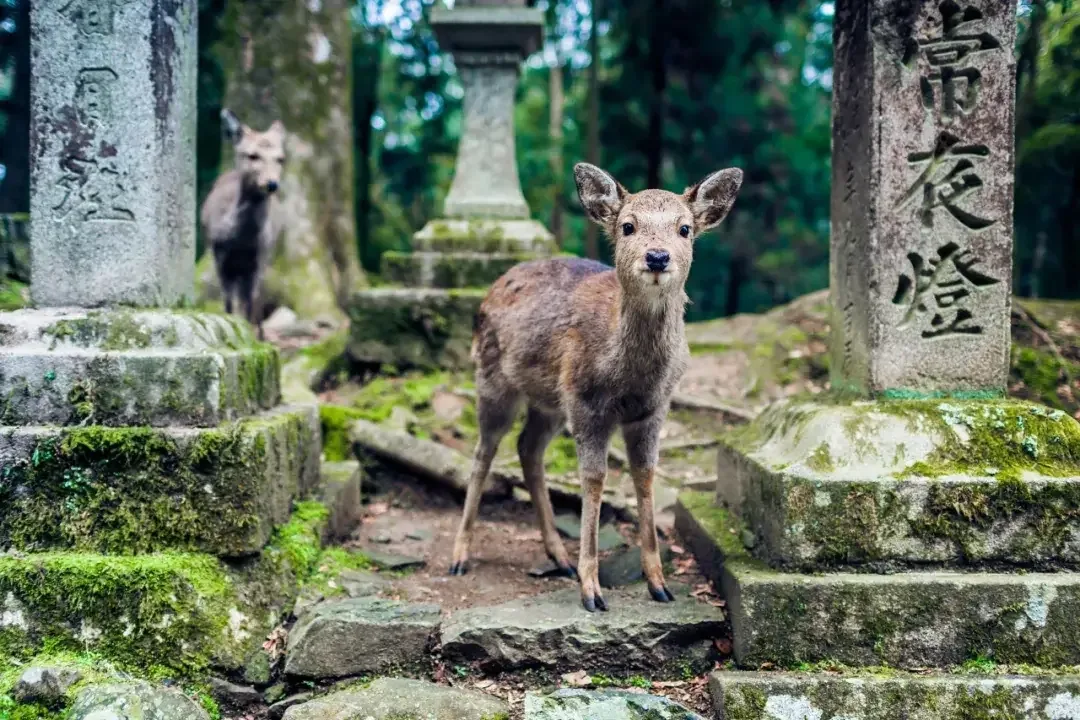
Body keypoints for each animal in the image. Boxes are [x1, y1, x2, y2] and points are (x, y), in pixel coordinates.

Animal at [200, 109, 286, 340]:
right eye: (253, 155)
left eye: (280, 159)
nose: (271, 183)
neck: (241, 241)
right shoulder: (219, 255)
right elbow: (228, 301)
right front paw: (234, 328)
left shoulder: (259, 256)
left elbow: (251, 301)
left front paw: (251, 335)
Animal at [449, 162, 743, 612]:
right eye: (627, 226)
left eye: (685, 228)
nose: (657, 257)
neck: (629, 377)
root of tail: (493, 288)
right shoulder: (586, 403)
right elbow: (594, 478)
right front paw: (592, 590)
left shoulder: (655, 409)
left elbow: (645, 475)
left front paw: (659, 584)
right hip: (493, 379)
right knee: (484, 451)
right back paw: (460, 556)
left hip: (550, 402)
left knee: (528, 447)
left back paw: (559, 556)